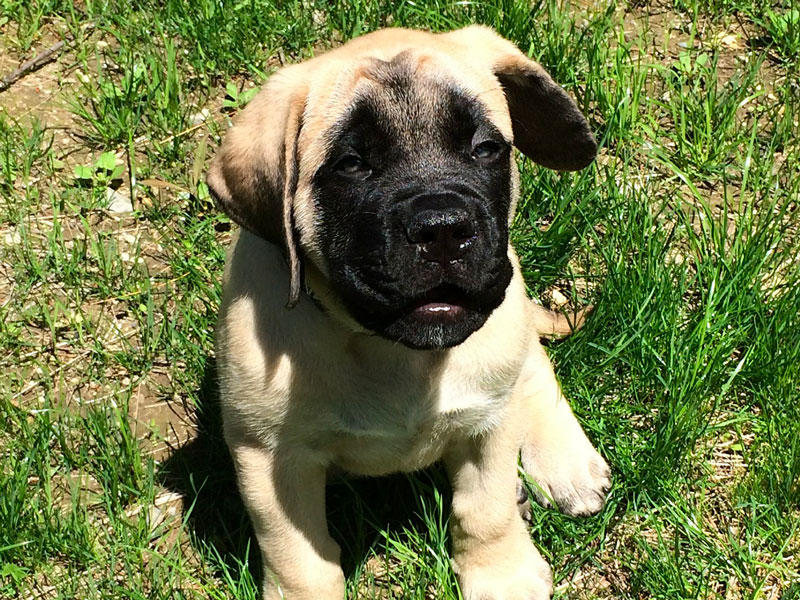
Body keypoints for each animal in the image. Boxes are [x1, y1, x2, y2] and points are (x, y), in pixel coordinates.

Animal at [208, 24, 612, 600]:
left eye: (486, 149)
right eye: (351, 165)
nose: (443, 228)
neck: (392, 351)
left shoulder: (489, 424)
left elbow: (484, 511)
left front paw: (502, 574)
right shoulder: (269, 456)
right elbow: (298, 558)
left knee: (532, 364)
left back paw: (566, 461)